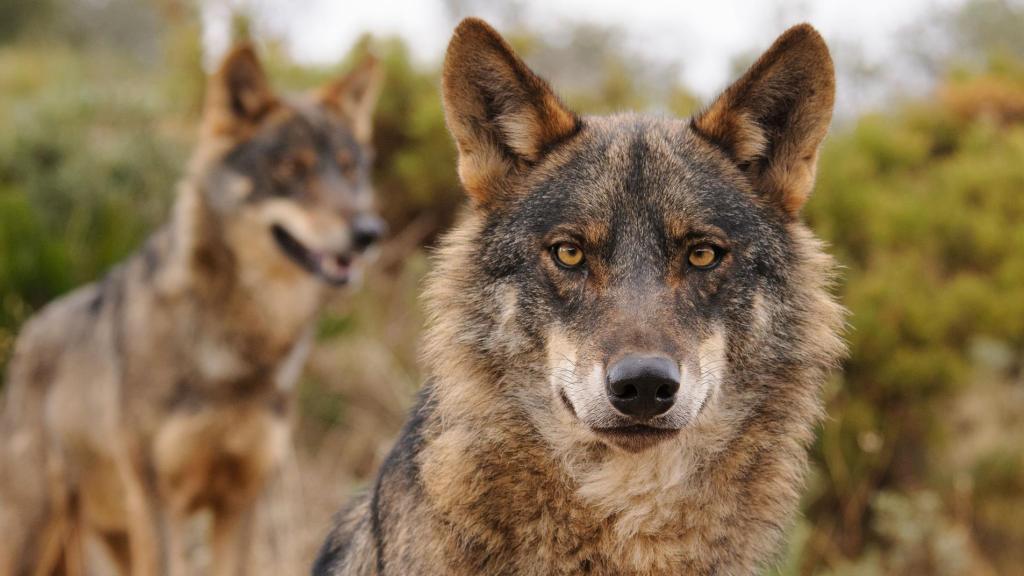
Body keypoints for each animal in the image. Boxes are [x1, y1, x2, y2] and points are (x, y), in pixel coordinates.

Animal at [0, 46, 383, 575]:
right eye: (290, 168)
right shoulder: (159, 503)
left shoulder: (241, 502)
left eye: (349, 170)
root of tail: (29, 331)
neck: (239, 349)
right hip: (42, 533)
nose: (369, 233)